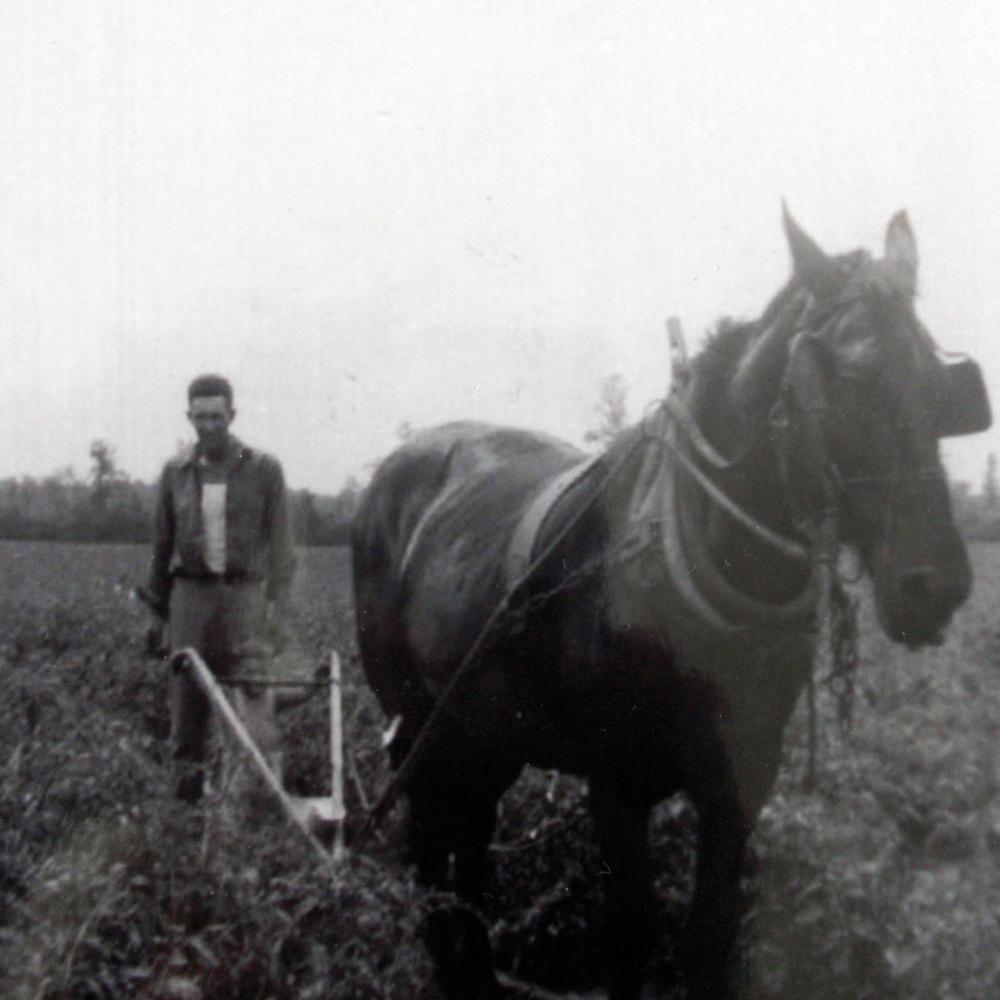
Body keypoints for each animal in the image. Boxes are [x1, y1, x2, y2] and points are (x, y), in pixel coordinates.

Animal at [348, 207, 988, 996]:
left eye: (941, 386)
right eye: (848, 377)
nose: (937, 585)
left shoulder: (742, 780)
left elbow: (709, 939)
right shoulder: (615, 780)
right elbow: (629, 935)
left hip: (483, 729)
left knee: (469, 843)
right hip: (417, 722)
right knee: (430, 853)